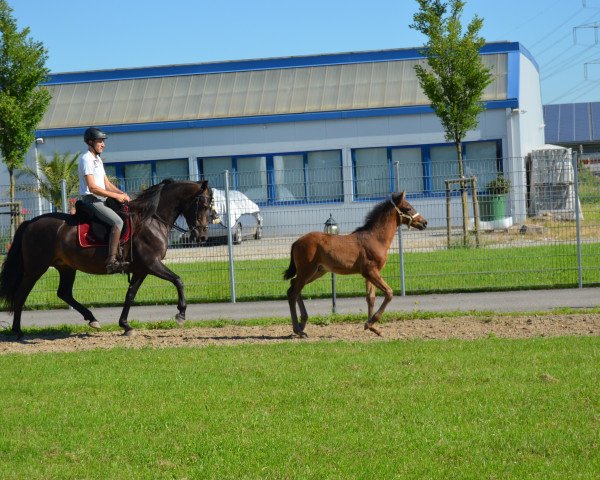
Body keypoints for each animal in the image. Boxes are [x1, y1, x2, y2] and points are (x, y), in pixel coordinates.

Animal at [0, 178, 214, 340]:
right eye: (203, 205)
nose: (202, 236)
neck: (151, 220)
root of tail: (31, 223)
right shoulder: (152, 264)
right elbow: (178, 280)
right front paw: (181, 314)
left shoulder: (141, 270)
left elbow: (130, 295)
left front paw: (125, 326)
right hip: (35, 269)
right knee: (21, 294)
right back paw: (17, 331)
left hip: (66, 267)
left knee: (64, 293)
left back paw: (92, 319)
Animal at [282, 192, 426, 338]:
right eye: (408, 208)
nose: (424, 222)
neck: (375, 238)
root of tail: (295, 242)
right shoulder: (370, 271)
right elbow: (389, 293)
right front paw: (370, 323)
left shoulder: (371, 273)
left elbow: (370, 297)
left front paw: (373, 328)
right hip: (307, 270)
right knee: (292, 292)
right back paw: (298, 329)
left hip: (318, 271)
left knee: (294, 286)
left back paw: (302, 324)